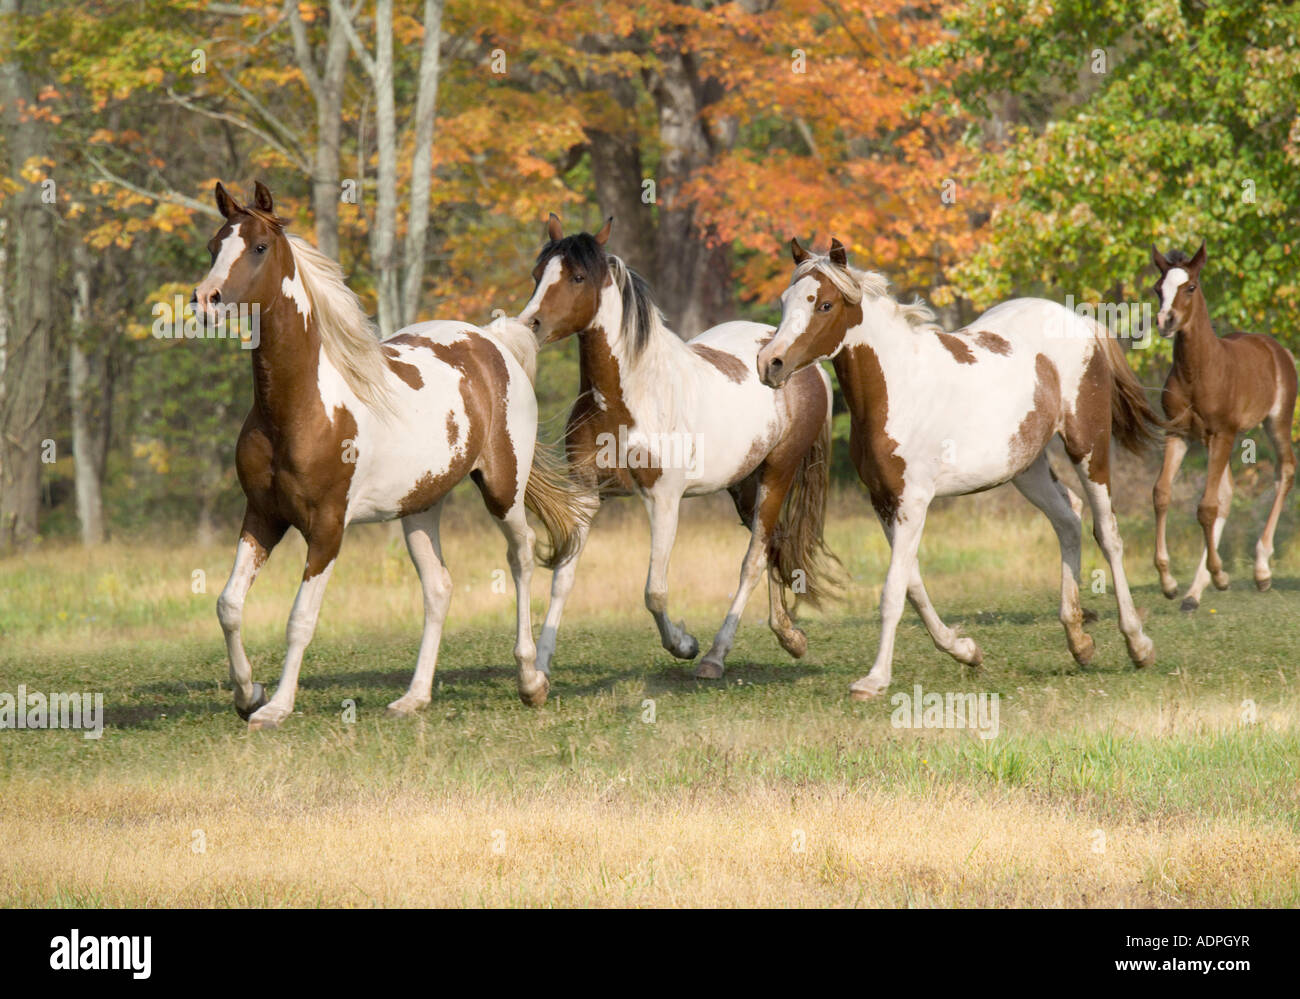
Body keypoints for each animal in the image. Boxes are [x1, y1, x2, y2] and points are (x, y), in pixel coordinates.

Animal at [192, 182, 579, 728]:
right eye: (213, 246)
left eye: (259, 247)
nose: (206, 301)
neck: (299, 407)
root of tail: (493, 342)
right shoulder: (263, 515)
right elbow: (228, 604)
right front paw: (248, 694)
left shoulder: (327, 528)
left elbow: (300, 618)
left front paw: (276, 706)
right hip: (420, 507)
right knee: (439, 588)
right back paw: (414, 698)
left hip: (504, 489)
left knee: (521, 557)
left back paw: (530, 682)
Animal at [517, 212, 842, 676]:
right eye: (538, 274)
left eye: (578, 276)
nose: (530, 325)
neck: (630, 397)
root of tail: (798, 362)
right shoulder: (585, 493)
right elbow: (563, 578)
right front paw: (540, 669)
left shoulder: (664, 499)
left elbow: (654, 591)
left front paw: (684, 644)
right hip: (743, 485)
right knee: (774, 546)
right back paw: (789, 635)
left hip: (777, 475)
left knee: (753, 559)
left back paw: (715, 657)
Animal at [759, 238, 1164, 697]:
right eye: (785, 300)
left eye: (824, 304)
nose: (769, 363)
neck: (898, 388)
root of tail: (1080, 322)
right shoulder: (883, 501)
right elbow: (913, 585)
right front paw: (965, 650)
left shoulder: (914, 501)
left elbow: (893, 591)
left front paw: (874, 679)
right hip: (1026, 468)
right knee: (1068, 519)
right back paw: (1079, 641)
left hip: (1087, 447)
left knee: (1107, 532)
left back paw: (1138, 644)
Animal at [1154, 245, 1294, 613]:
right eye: (1158, 288)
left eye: (1190, 287)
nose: (1165, 321)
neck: (1198, 371)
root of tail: (1278, 349)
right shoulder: (1179, 434)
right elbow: (1162, 494)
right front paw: (1169, 583)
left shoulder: (1223, 433)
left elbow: (1206, 507)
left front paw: (1220, 576)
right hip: (1214, 440)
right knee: (1227, 494)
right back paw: (1192, 593)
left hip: (1276, 422)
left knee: (1285, 472)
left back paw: (1261, 571)